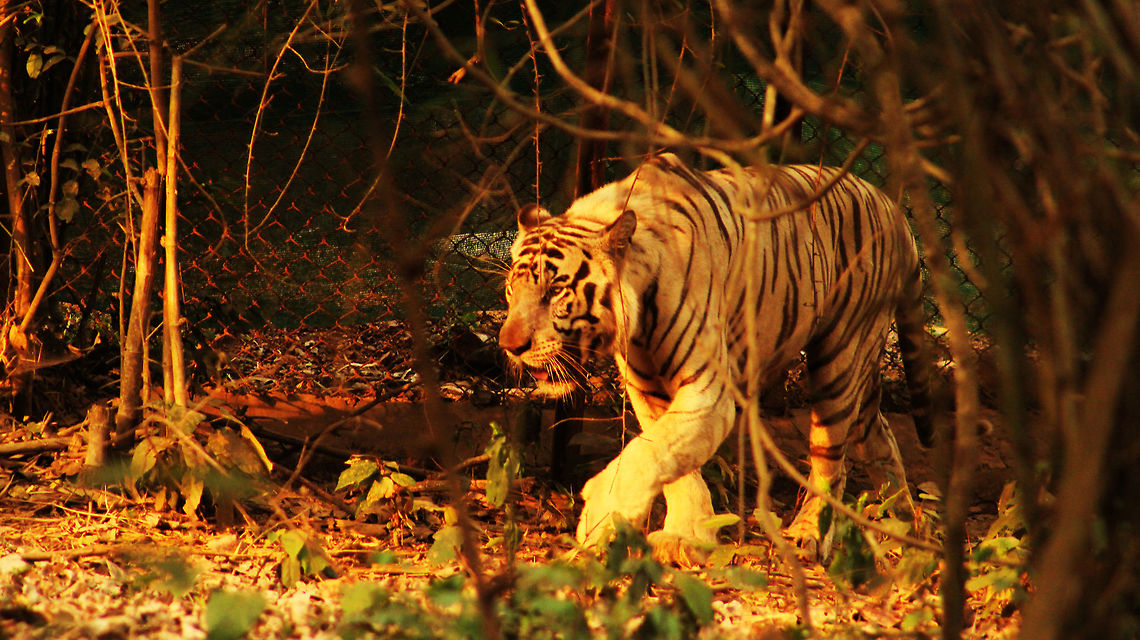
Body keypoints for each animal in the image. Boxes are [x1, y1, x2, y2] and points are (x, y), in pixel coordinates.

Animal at [498, 153, 933, 556]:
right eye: (511, 289)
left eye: (555, 290)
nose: (509, 345)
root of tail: (890, 206)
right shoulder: (649, 390)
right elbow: (672, 461)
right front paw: (686, 534)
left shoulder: (708, 391)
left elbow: (651, 452)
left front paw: (603, 513)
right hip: (861, 369)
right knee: (881, 437)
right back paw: (904, 525)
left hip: (839, 360)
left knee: (831, 461)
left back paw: (810, 533)